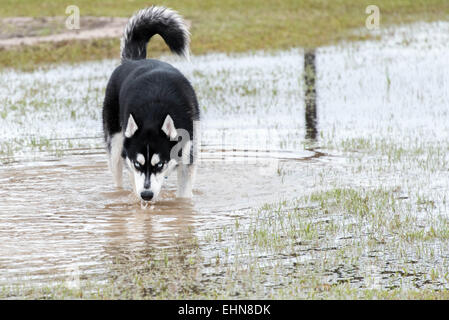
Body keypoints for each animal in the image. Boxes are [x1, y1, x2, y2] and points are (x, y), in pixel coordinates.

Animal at [102, 6, 200, 201]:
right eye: (138, 164)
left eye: (159, 164)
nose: (146, 195)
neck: (153, 112)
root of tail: (135, 61)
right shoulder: (131, 163)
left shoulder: (188, 156)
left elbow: (184, 196)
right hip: (116, 146)